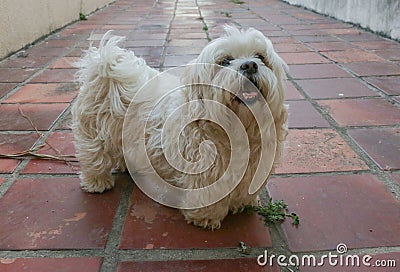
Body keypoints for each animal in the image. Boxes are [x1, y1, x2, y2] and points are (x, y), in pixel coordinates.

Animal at [72, 25, 288, 230]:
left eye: (260, 57)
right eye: (225, 61)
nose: (250, 65)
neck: (238, 127)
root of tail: (105, 66)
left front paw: (243, 203)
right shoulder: (204, 172)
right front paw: (206, 217)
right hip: (94, 135)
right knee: (94, 157)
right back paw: (97, 181)